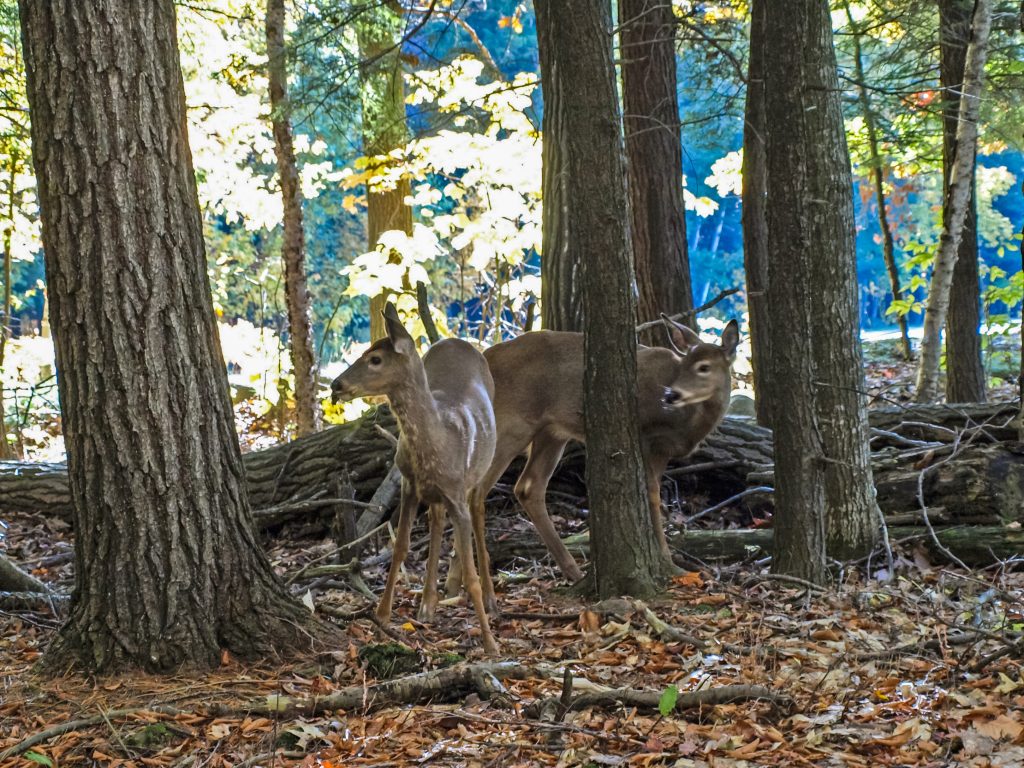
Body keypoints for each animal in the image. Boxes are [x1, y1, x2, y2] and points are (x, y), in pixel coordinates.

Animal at [330, 302, 499, 654]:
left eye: (375, 359)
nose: (336, 384)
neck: (439, 442)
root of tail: (456, 341)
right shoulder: (409, 485)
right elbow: (400, 547)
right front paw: (382, 617)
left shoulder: (456, 491)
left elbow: (470, 573)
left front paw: (490, 643)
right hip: (433, 493)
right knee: (435, 519)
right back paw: (428, 604)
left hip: (481, 469)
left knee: (479, 513)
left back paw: (491, 600)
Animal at [447, 316, 738, 608]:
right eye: (684, 365)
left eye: (703, 367)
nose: (671, 395)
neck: (687, 424)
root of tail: (487, 356)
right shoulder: (646, 438)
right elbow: (652, 495)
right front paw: (668, 559)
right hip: (512, 422)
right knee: (476, 492)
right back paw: (485, 592)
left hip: (551, 432)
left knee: (527, 487)